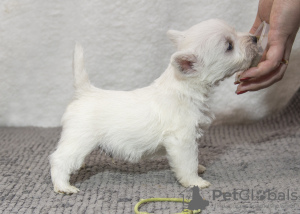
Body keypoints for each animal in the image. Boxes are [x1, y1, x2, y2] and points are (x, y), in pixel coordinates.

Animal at [49, 19, 258, 195]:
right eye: (229, 46)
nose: (255, 38)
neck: (183, 87)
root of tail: (85, 92)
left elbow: (194, 158)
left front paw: (199, 169)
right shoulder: (182, 139)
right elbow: (188, 162)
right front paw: (195, 181)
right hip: (80, 139)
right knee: (59, 159)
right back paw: (64, 186)